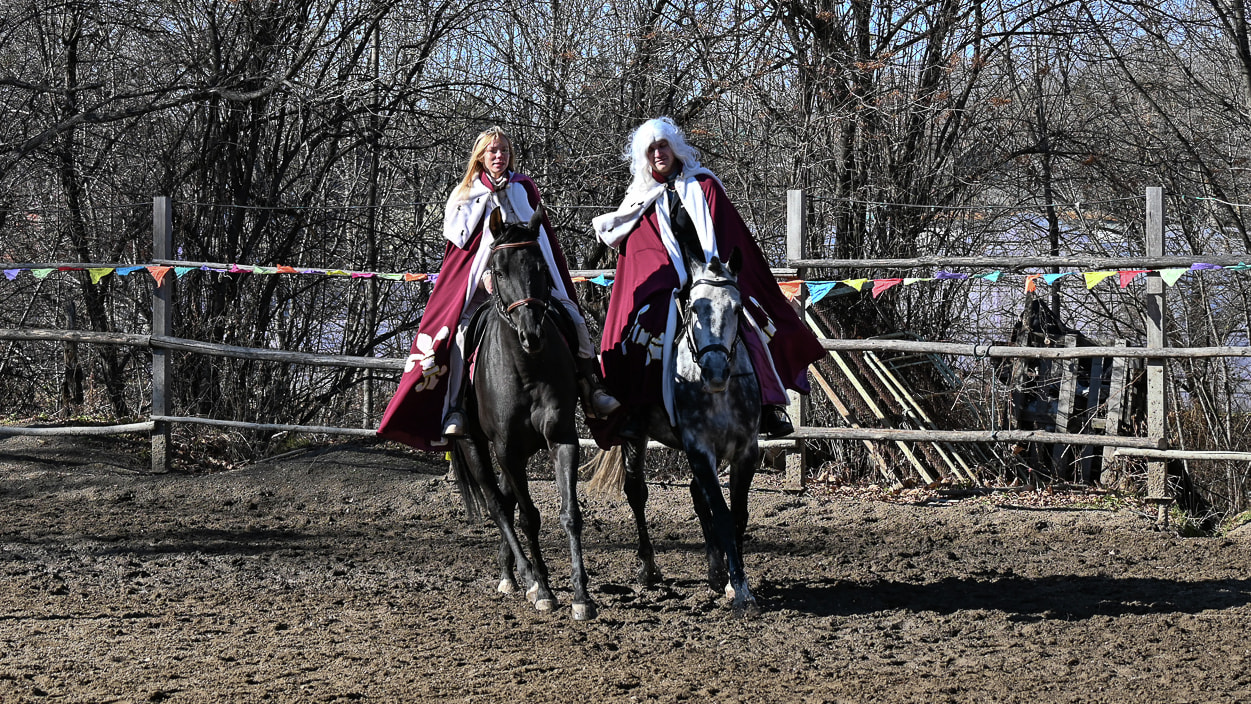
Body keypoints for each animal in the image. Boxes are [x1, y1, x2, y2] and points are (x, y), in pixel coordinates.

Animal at [447, 205, 592, 622]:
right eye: (498, 271)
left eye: (541, 266)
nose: (531, 334)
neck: (527, 369)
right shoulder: (505, 449)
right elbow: (527, 516)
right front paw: (542, 587)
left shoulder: (561, 439)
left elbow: (569, 513)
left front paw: (581, 595)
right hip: (476, 445)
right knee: (499, 504)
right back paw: (524, 576)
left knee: (507, 499)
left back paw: (510, 572)